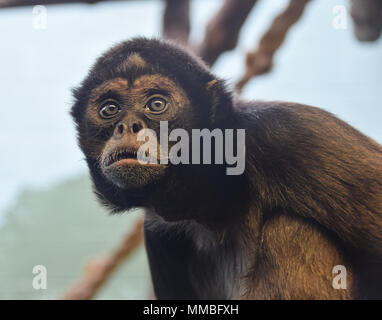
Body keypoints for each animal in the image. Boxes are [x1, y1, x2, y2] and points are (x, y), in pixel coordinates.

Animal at [71, 37, 382, 300]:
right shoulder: (157, 231)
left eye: (156, 104)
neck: (218, 197)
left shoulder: (286, 134)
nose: (128, 126)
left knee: (289, 230)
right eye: (109, 109)